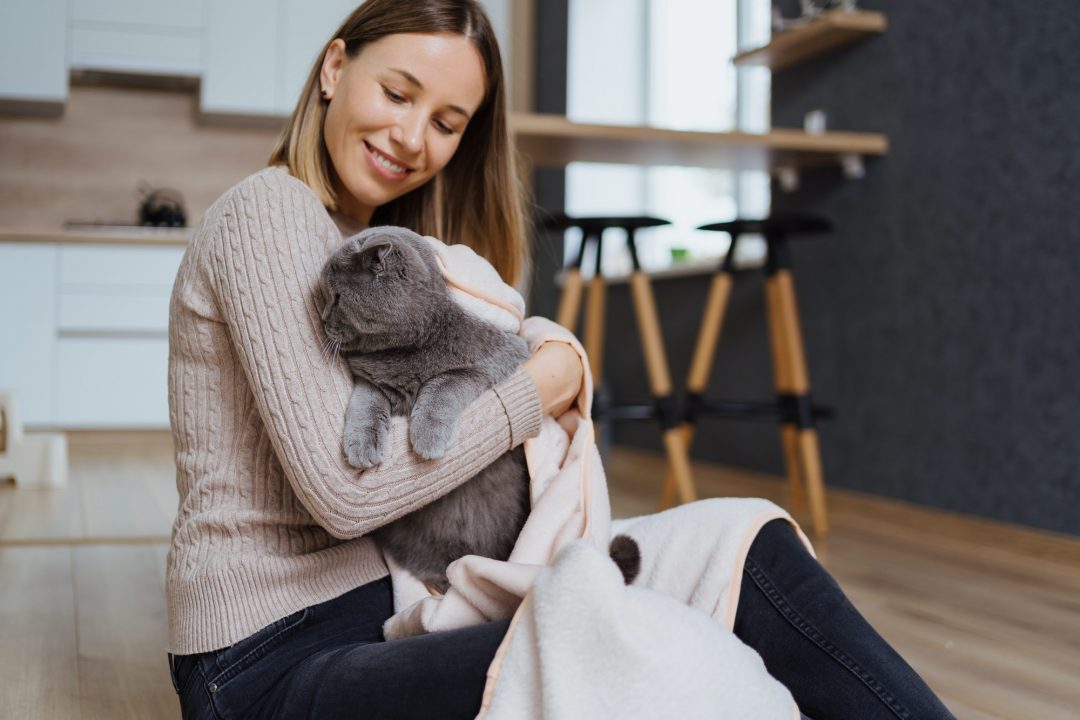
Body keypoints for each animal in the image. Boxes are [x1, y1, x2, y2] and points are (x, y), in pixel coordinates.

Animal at [319, 227, 639, 595]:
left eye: (336, 296)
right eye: (327, 295)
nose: (322, 318)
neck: (408, 350)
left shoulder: (499, 358)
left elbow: (445, 382)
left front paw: (428, 437)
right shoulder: (373, 379)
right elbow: (367, 403)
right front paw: (363, 446)